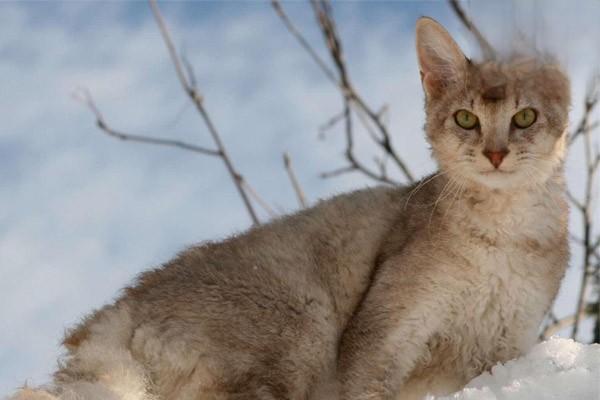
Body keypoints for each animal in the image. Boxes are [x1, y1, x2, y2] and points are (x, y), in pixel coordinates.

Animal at [9, 15, 572, 400]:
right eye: (465, 119)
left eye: (524, 117)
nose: (495, 155)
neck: (504, 236)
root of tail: (116, 311)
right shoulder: (381, 337)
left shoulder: (497, 353)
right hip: (303, 326)